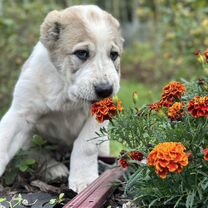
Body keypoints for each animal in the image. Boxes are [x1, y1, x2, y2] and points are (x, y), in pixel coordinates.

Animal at [0, 5, 123, 193]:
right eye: (82, 53)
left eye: (114, 55)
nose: (105, 90)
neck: (66, 91)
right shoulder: (20, 114)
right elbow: (4, 142)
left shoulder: (97, 119)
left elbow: (85, 146)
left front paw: (84, 180)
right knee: (36, 152)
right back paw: (54, 170)